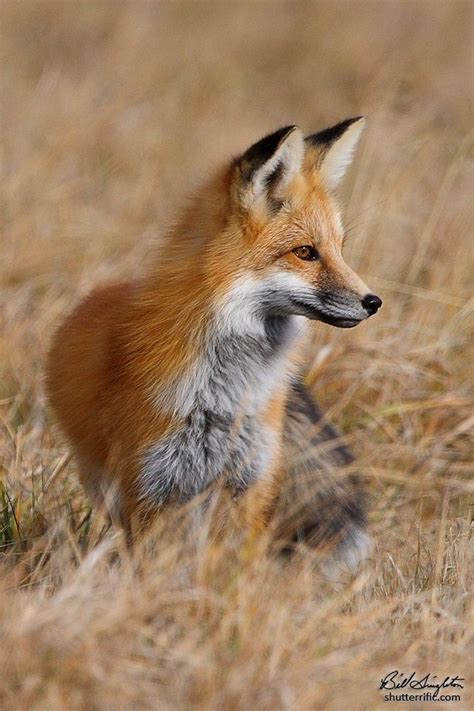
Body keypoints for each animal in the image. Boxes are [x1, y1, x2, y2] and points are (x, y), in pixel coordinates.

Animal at [47, 118, 382, 568]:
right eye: (306, 252)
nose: (373, 302)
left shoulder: (250, 481)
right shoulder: (149, 485)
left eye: (340, 250)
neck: (224, 394)